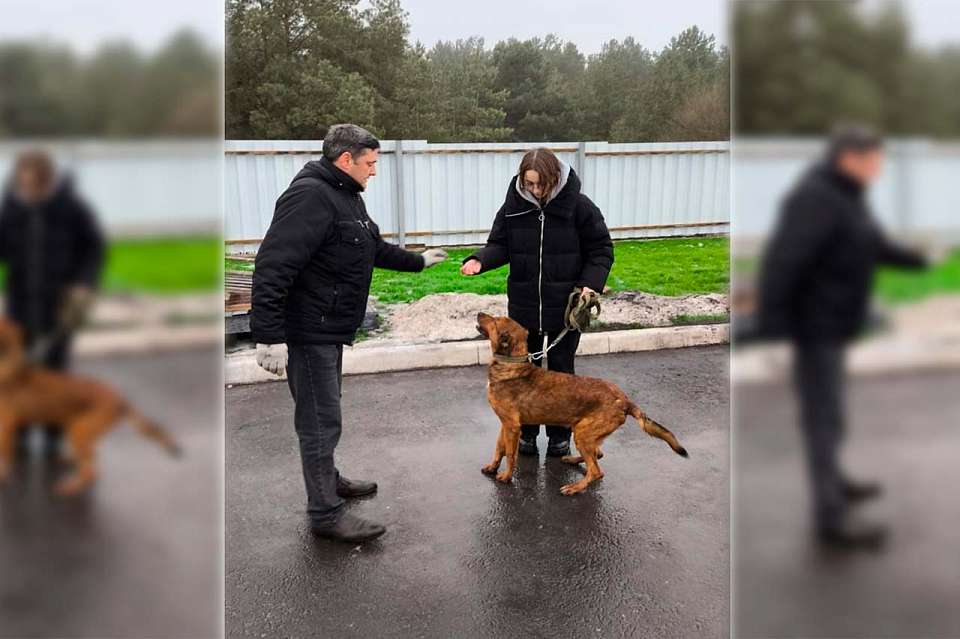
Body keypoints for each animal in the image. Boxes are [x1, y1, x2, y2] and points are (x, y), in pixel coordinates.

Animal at [0, 316, 180, 496]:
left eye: (5, 336)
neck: (8, 370)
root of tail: (121, 399)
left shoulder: (7, 425)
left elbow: (5, 451)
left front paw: (4, 473)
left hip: (79, 430)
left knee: (91, 470)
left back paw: (73, 485)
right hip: (82, 431)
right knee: (93, 462)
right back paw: (74, 462)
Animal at [476, 314, 688, 496]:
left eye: (495, 320)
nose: (479, 313)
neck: (511, 363)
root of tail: (625, 400)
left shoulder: (512, 426)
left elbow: (510, 455)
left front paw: (506, 476)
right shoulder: (505, 424)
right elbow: (499, 448)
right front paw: (493, 467)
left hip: (582, 433)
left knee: (596, 471)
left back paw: (574, 487)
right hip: (586, 432)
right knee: (598, 454)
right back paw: (573, 460)